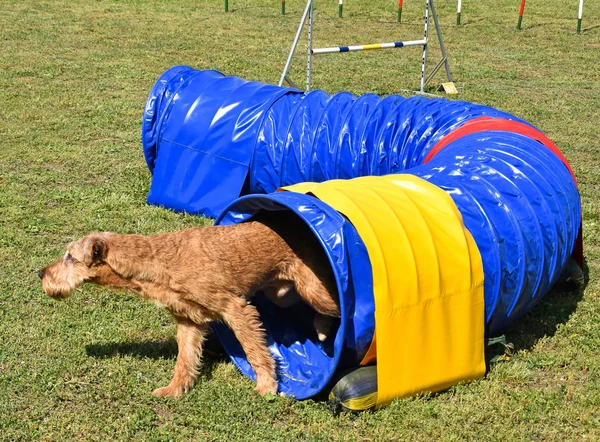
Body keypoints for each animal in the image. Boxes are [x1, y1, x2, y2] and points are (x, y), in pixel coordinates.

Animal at [37, 212, 340, 398]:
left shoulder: (235, 309)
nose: (40, 274)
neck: (158, 260)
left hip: (313, 289)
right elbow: (185, 359)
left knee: (338, 305)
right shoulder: (189, 321)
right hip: (283, 292)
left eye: (70, 257)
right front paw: (174, 390)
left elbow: (255, 351)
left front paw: (266, 387)